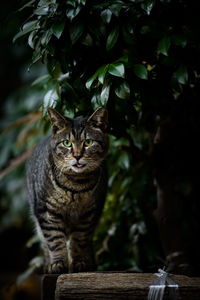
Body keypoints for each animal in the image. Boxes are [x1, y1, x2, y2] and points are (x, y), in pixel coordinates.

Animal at [26, 106, 108, 274]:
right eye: (67, 143)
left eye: (88, 142)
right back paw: (47, 265)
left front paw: (80, 263)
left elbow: (79, 239)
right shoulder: (46, 211)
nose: (77, 156)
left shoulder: (88, 213)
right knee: (45, 245)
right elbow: (54, 240)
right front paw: (57, 264)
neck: (76, 186)